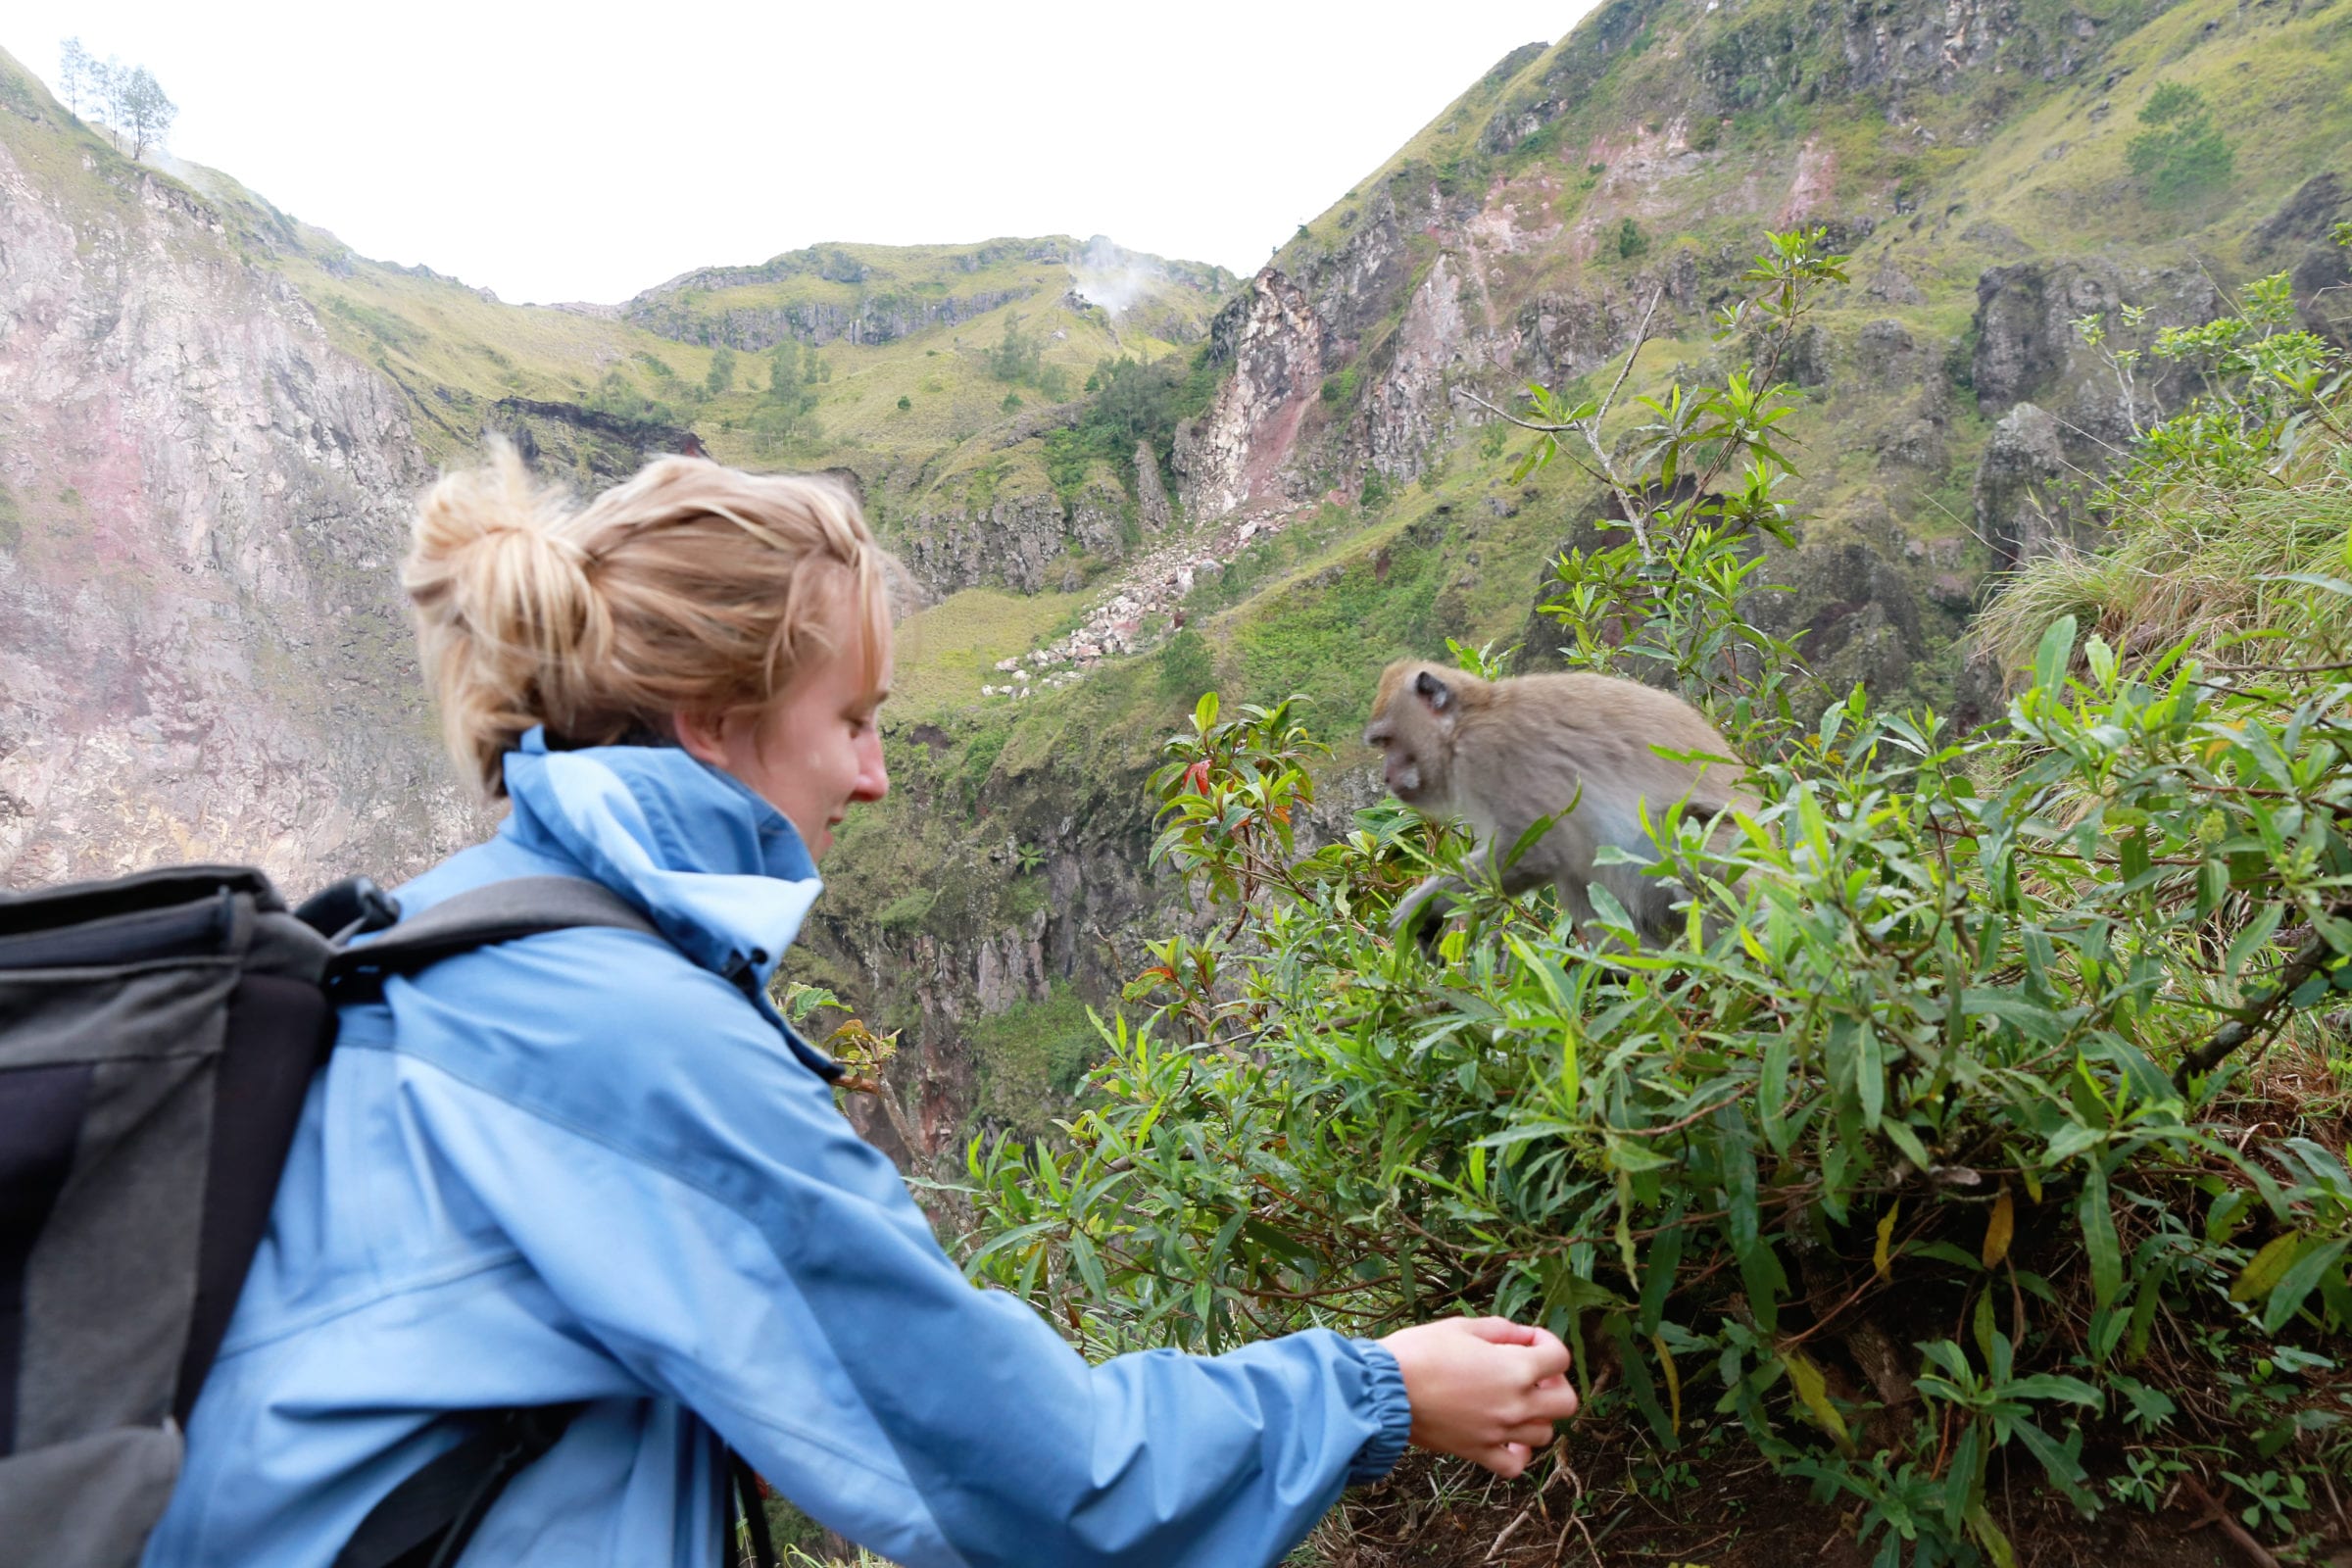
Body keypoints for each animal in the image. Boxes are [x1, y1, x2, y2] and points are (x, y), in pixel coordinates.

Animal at [1364, 658, 1749, 945]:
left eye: (1387, 741)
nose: (1386, 776)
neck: (1470, 720)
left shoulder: (1491, 756)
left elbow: (1537, 853)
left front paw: (1421, 908)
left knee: (1687, 850)